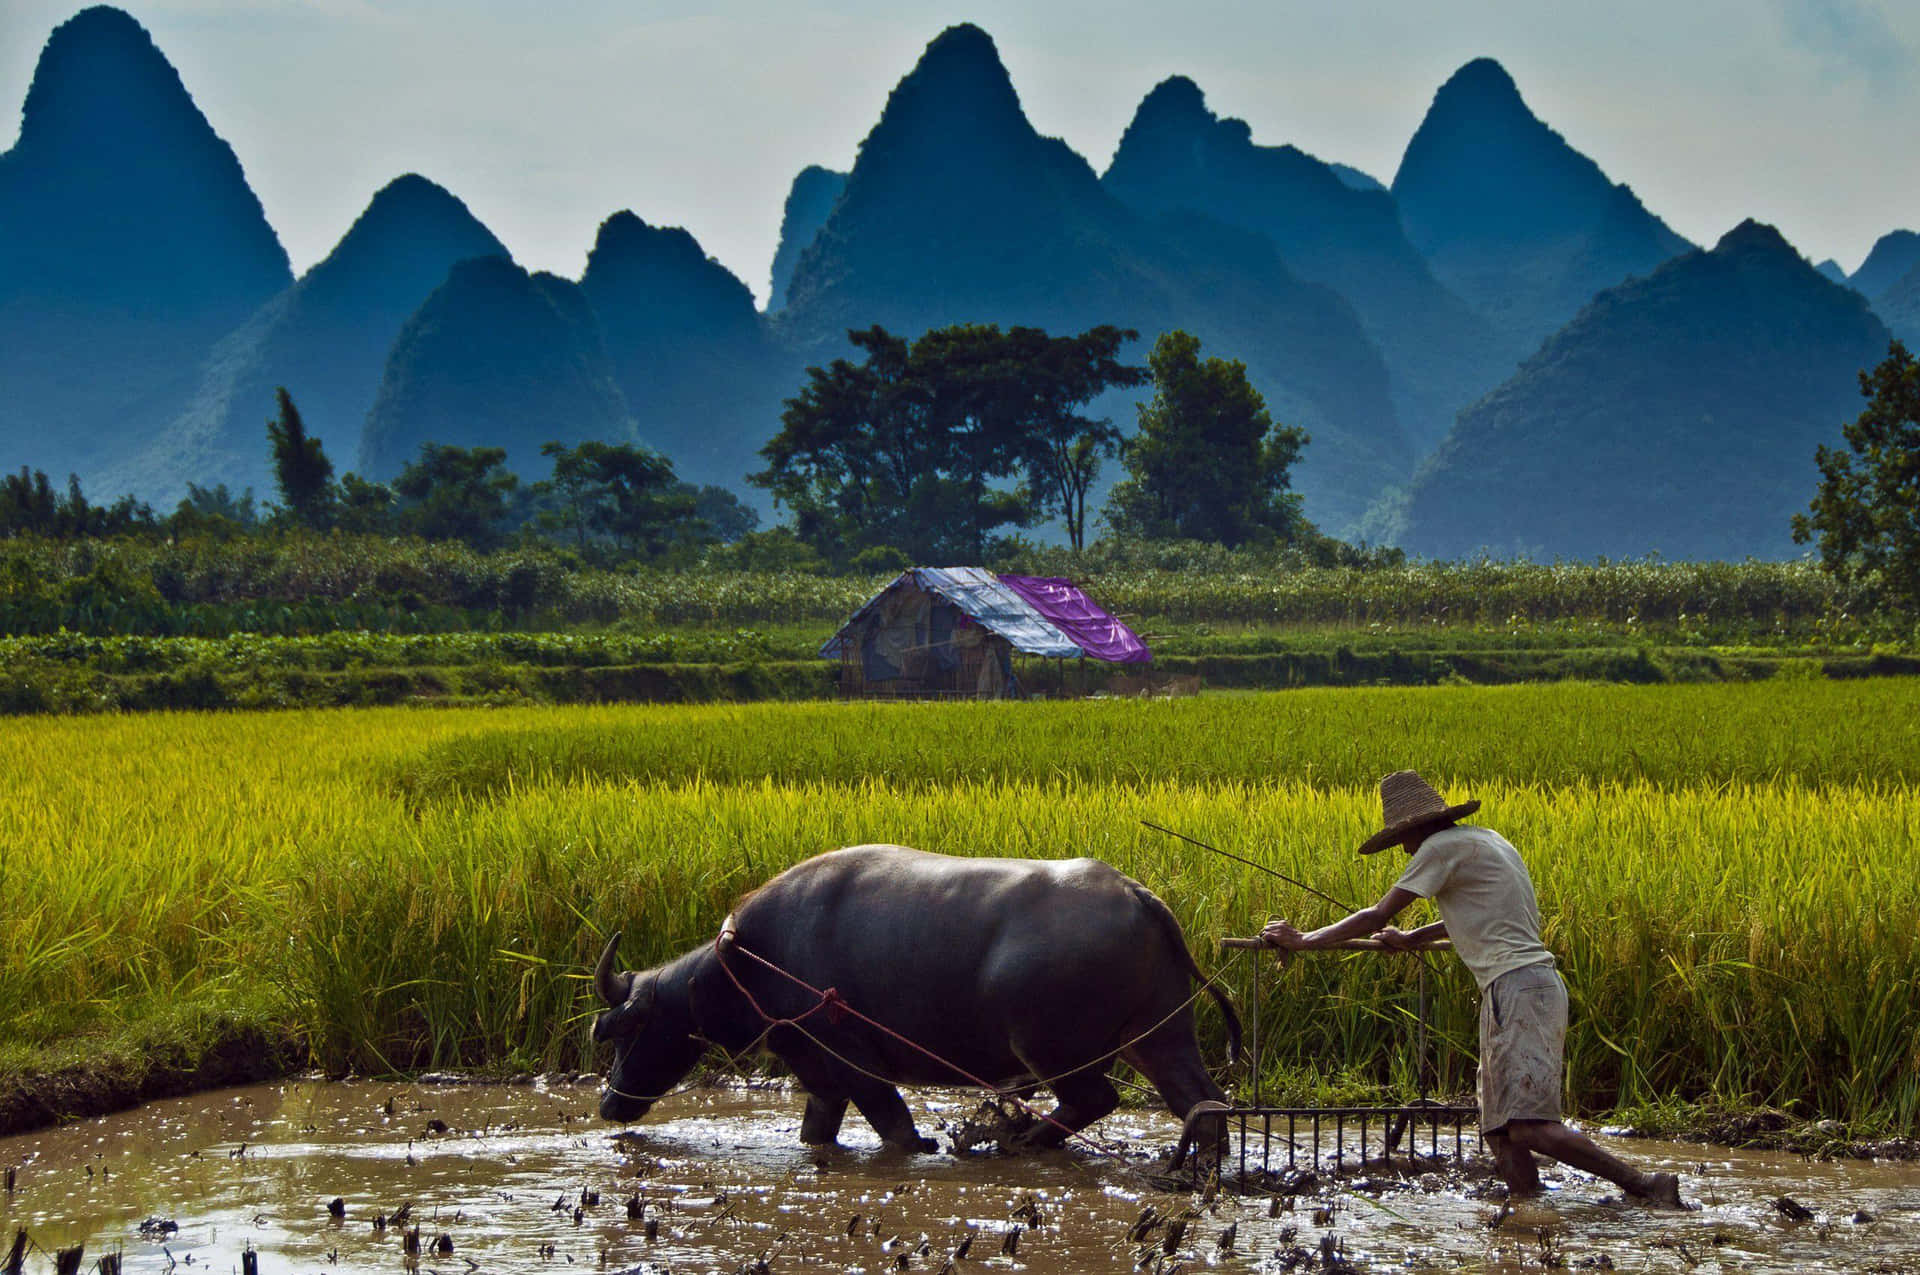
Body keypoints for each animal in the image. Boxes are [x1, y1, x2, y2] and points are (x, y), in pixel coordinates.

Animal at [591, 844, 1236, 1152]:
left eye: (628, 1029)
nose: (609, 1104)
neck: (750, 960)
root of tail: (1137, 895)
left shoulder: (853, 1058)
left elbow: (896, 1128)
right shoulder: (817, 1072)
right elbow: (816, 1130)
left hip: (1049, 1047)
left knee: (1095, 1099)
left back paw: (1021, 1141)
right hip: (1160, 1035)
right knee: (1200, 1103)